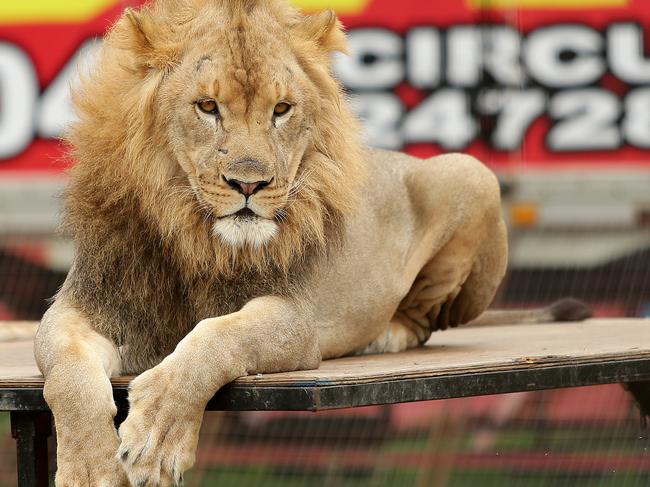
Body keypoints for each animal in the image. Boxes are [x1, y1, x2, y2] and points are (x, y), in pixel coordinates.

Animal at [31, 0, 588, 487]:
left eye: (281, 109)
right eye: (207, 106)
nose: (250, 184)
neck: (192, 233)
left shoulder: (296, 321)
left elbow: (216, 337)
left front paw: (157, 435)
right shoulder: (84, 305)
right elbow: (67, 374)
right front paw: (90, 467)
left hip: (471, 172)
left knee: (424, 321)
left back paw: (383, 334)